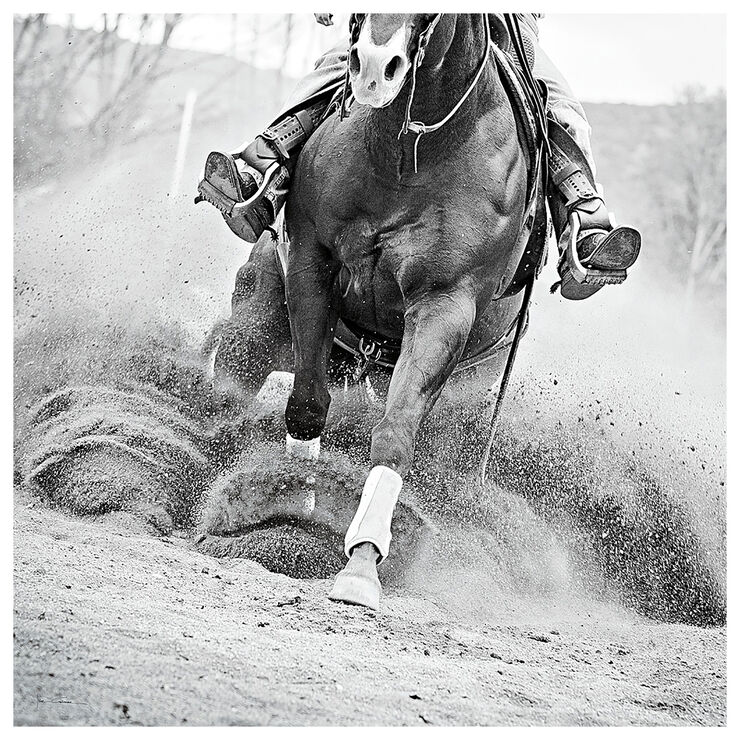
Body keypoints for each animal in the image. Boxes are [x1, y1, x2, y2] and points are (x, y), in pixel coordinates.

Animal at [212, 13, 547, 609]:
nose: (372, 66)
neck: (409, 154)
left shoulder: (445, 304)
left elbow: (394, 433)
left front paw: (362, 565)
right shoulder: (310, 258)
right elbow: (307, 405)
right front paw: (287, 501)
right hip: (261, 314)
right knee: (236, 362)